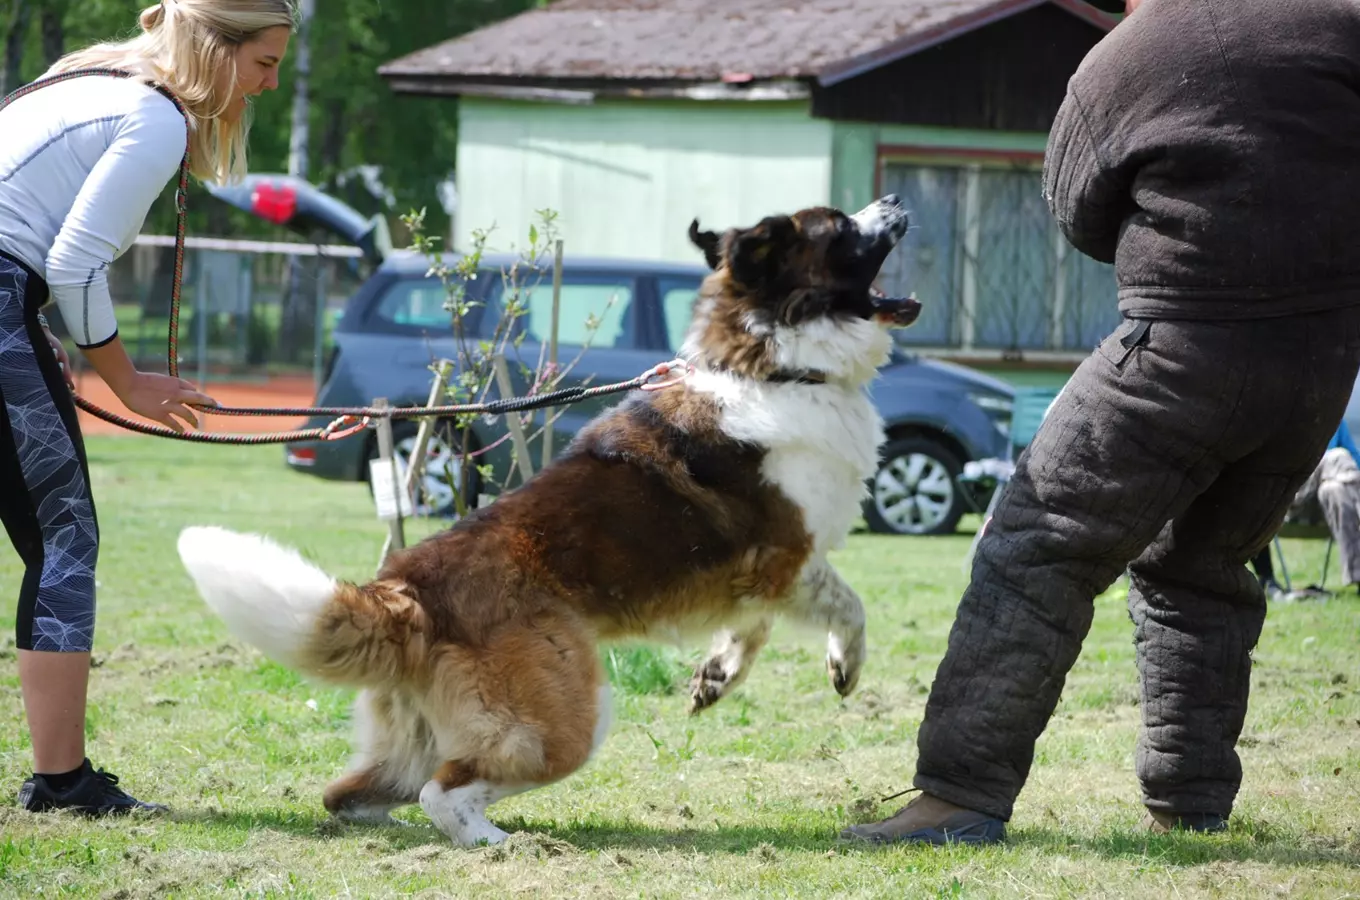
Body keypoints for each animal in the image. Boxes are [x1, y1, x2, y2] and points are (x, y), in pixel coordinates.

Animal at [178, 195, 913, 848]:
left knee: (350, 795)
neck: (774, 368)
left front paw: (716, 675)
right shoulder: (788, 557)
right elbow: (849, 607)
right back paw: (497, 842)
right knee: (443, 790)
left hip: (411, 734)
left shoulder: (757, 576)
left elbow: (750, 627)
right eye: (840, 228)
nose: (898, 201)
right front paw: (844, 666)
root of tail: (408, 588)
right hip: (562, 721)